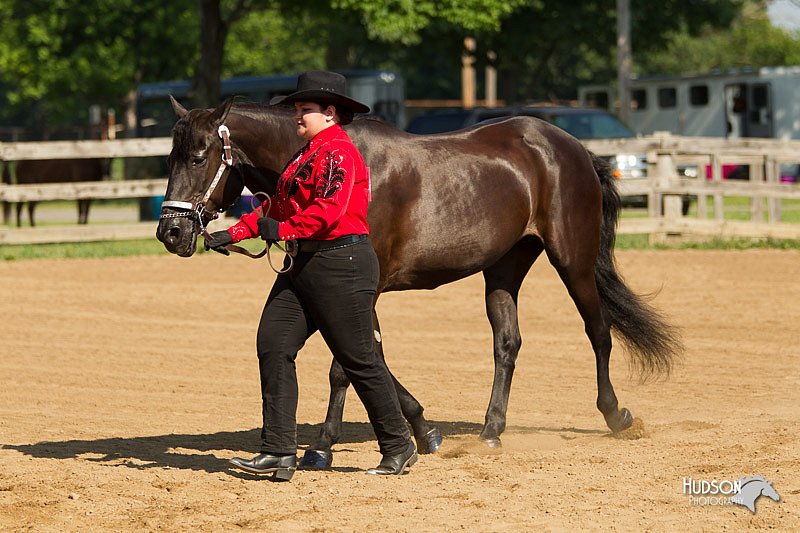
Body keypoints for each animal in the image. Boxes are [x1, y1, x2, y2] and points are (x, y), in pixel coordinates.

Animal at [156, 98, 680, 466]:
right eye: (170, 157)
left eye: (199, 156)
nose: (171, 233)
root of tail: (572, 147)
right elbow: (367, 356)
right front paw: (422, 431)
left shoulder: (363, 287)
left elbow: (347, 364)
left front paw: (324, 444)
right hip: (504, 267)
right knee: (507, 343)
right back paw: (491, 431)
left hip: (572, 259)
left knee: (599, 330)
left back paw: (616, 415)